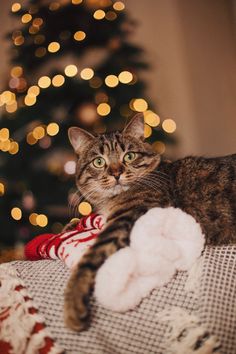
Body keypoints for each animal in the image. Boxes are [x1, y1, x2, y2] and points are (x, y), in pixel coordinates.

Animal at [63, 113, 235, 332]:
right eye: (99, 162)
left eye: (129, 156)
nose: (116, 173)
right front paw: (71, 225)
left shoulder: (126, 221)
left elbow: (90, 258)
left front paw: (72, 304)